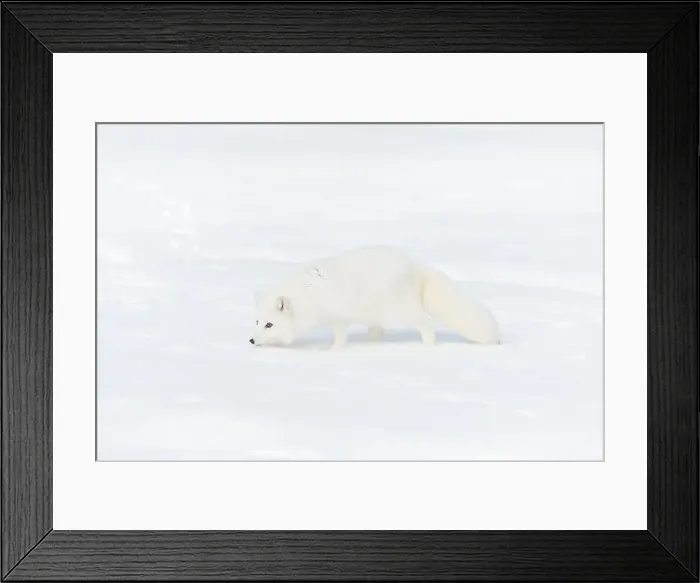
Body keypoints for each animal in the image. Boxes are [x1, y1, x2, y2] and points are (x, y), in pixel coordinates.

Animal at [249, 246, 499, 348]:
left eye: (270, 325)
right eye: (257, 321)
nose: (251, 340)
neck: (307, 296)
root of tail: (415, 266)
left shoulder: (340, 316)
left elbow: (339, 338)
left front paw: (332, 351)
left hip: (397, 312)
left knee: (425, 322)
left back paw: (427, 346)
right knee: (377, 332)